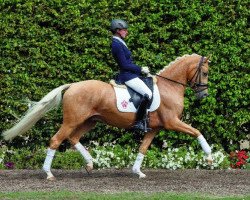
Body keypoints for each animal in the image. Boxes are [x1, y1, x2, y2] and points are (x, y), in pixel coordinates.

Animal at [1, 53, 213, 180]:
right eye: (204, 72)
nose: (204, 95)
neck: (169, 86)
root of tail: (72, 85)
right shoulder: (172, 122)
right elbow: (197, 131)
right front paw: (210, 157)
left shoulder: (155, 128)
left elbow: (143, 148)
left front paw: (138, 172)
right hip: (72, 121)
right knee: (56, 140)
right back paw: (49, 173)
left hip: (90, 121)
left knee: (73, 138)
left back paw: (89, 164)